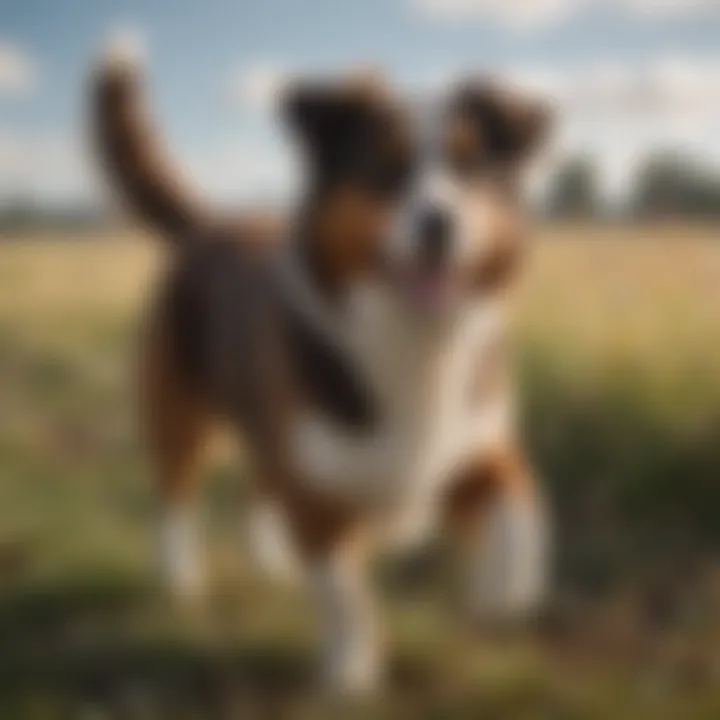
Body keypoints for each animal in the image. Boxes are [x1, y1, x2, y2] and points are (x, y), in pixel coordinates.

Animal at [90, 42, 552, 696]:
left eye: (472, 169)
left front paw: (502, 589)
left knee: (259, 484)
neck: (412, 338)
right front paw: (350, 672)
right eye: (385, 168)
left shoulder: (469, 441)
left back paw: (271, 558)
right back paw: (179, 577)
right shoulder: (319, 491)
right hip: (178, 414)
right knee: (174, 497)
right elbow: (342, 592)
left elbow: (519, 500)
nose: (440, 223)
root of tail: (210, 224)